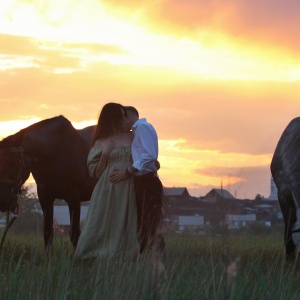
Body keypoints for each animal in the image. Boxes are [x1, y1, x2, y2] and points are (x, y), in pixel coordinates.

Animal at [0, 116, 96, 247]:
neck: (54, 152)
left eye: (12, 162)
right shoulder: (45, 197)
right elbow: (47, 233)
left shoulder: (74, 198)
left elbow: (75, 234)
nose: (3, 202)